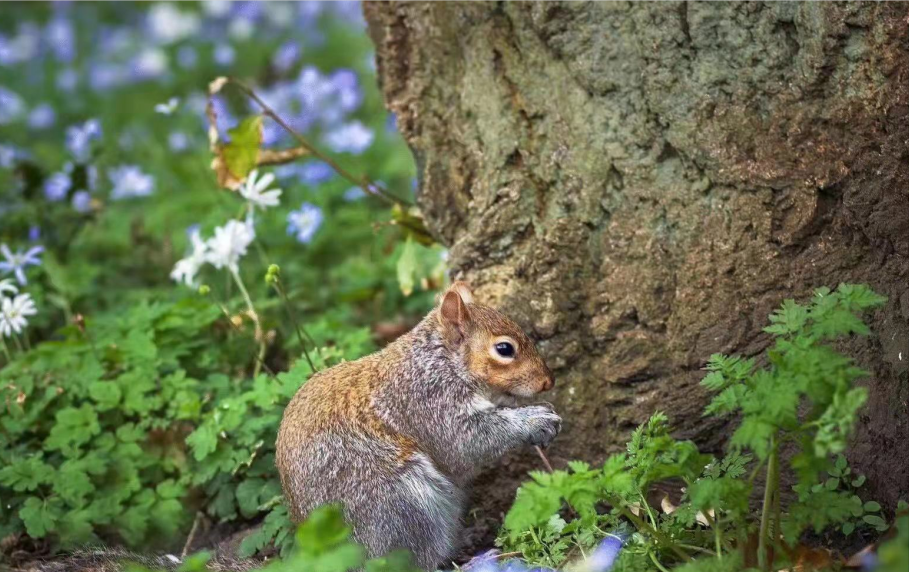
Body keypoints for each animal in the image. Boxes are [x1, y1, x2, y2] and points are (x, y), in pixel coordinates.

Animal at [274, 282, 560, 572]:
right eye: (504, 349)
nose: (548, 381)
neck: (441, 362)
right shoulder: (430, 403)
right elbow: (467, 443)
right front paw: (535, 420)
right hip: (401, 507)